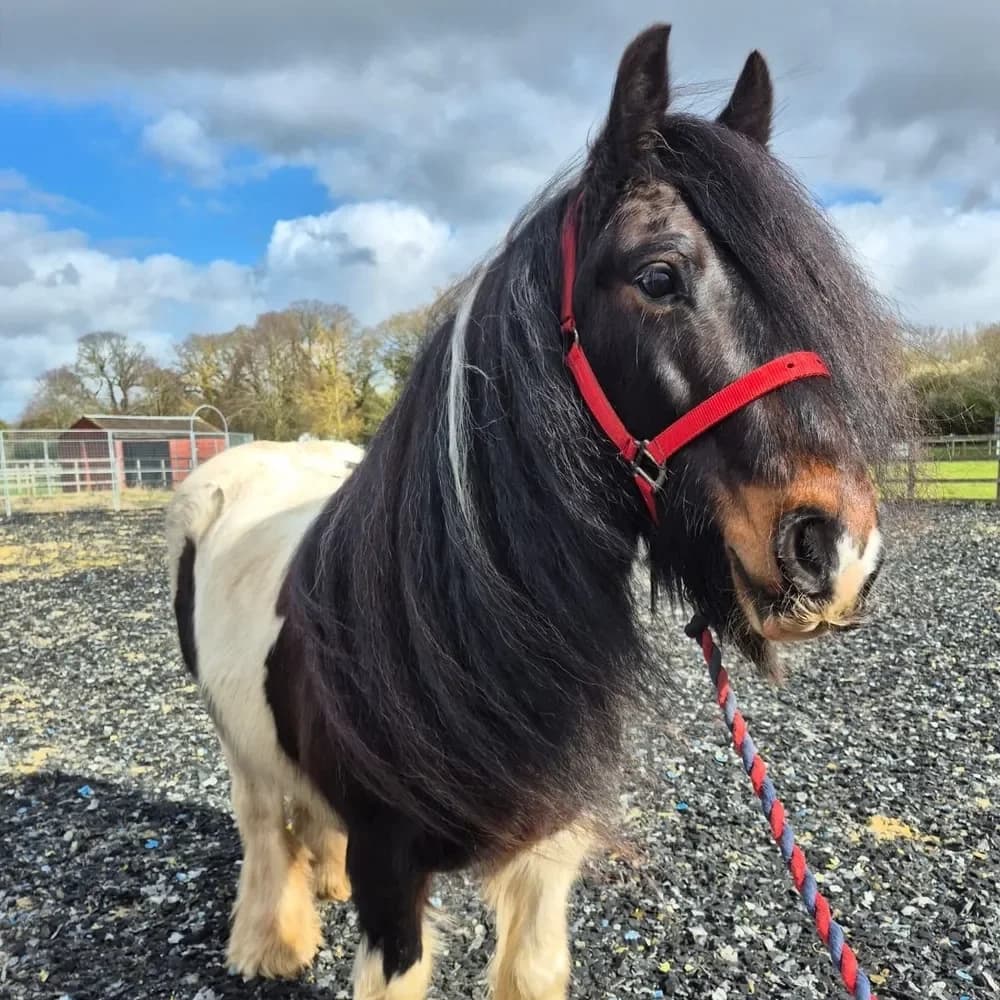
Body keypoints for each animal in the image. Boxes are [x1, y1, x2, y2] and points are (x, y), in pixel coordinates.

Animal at [165, 23, 910, 1000]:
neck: (441, 629)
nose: (836, 551)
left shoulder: (545, 852)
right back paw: (270, 942)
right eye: (658, 276)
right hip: (235, 740)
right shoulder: (392, 878)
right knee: (261, 823)